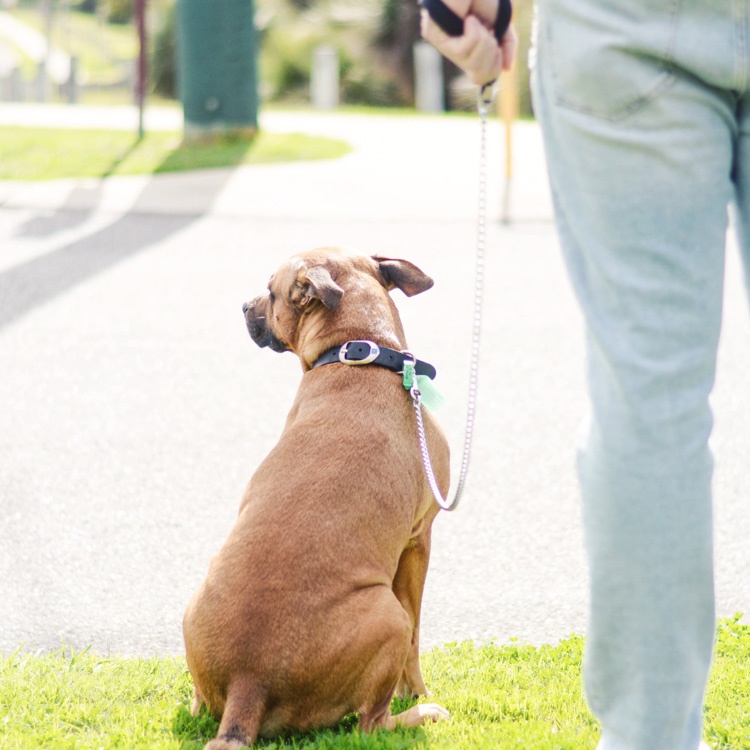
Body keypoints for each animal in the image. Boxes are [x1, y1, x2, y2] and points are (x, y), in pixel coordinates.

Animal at [184, 250, 450, 748]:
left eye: (271, 292)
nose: (243, 305)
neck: (359, 350)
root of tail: (248, 686)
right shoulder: (419, 541)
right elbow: (417, 642)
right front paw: (418, 693)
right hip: (389, 616)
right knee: (371, 725)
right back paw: (421, 713)